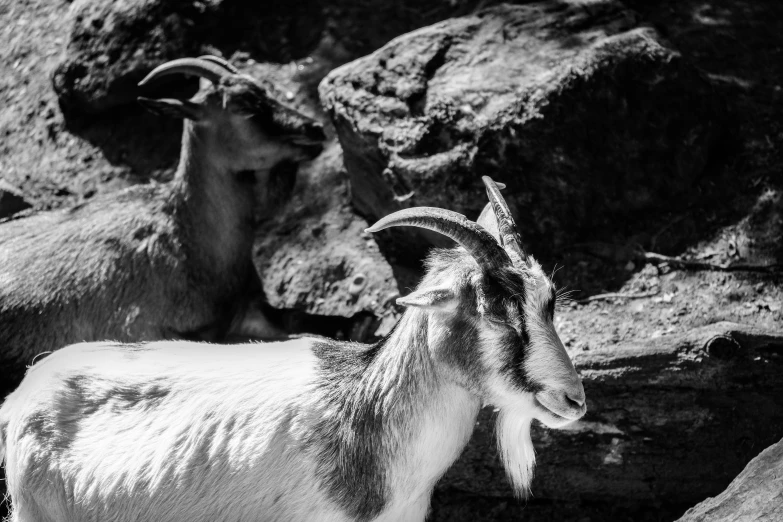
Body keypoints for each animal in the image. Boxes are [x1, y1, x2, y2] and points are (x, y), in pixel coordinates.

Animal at [0, 55, 324, 390]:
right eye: (242, 104)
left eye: (265, 90)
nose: (315, 128)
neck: (191, 241)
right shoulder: (142, 330)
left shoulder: (250, 308)